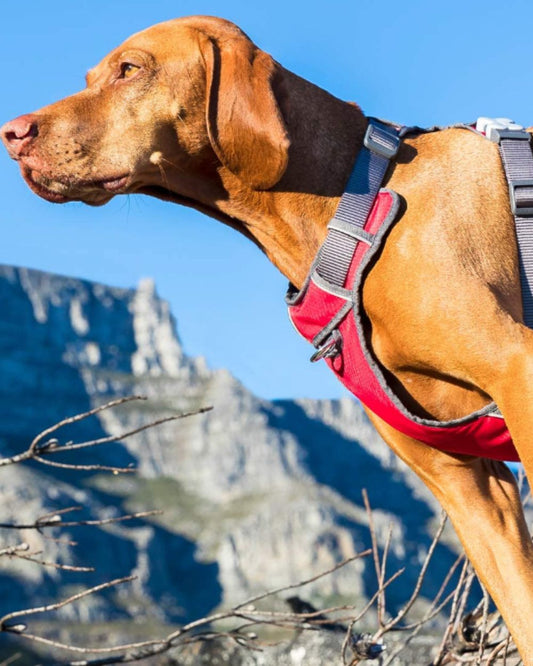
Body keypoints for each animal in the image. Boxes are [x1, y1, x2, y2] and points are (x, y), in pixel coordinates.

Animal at [1, 15, 532, 660]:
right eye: (89, 77)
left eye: (130, 69)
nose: (11, 133)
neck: (351, 203)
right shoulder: (468, 484)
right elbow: (522, 612)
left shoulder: (519, 377)